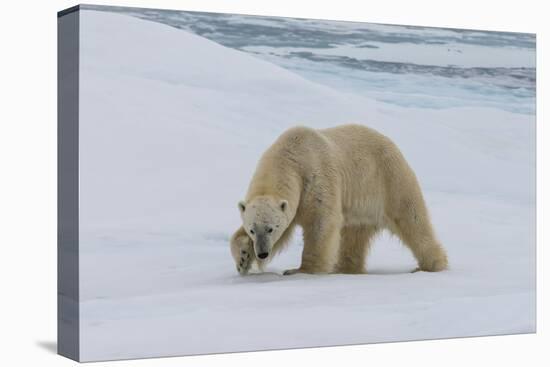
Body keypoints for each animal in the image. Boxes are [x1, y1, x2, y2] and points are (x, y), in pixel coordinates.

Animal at [231, 124, 450, 276]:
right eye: (252, 229)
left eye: (271, 228)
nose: (262, 253)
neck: (290, 156)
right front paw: (243, 258)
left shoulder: (315, 178)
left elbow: (321, 222)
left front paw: (301, 270)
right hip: (361, 207)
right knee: (354, 236)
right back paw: (346, 268)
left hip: (390, 180)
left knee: (412, 221)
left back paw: (432, 265)